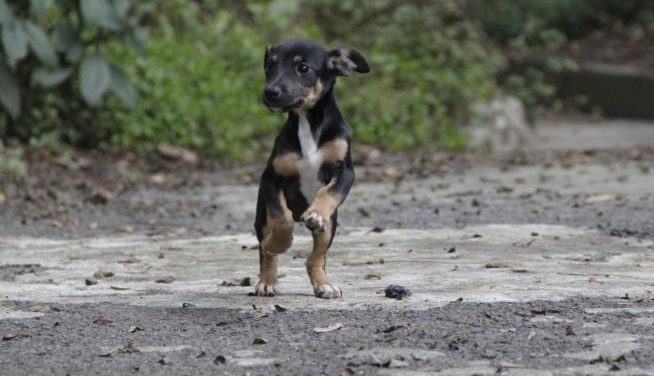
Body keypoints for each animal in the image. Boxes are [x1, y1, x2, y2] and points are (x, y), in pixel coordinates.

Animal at [255, 39, 372, 300]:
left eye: (303, 68)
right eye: (269, 66)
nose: (269, 92)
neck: (306, 123)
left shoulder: (345, 172)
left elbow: (328, 193)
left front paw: (316, 213)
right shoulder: (271, 178)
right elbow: (281, 218)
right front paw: (279, 242)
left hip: (330, 226)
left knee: (315, 258)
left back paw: (324, 285)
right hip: (261, 217)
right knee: (265, 251)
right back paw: (267, 281)